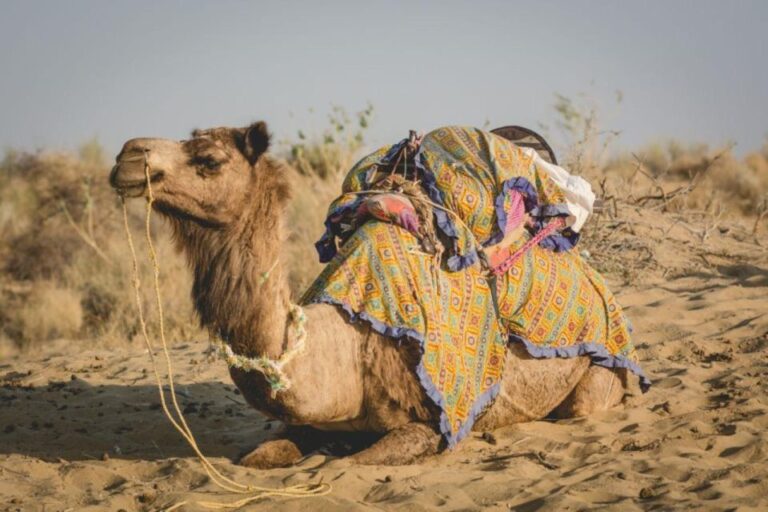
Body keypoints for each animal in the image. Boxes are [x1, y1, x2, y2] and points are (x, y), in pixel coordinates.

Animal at [111, 122, 628, 466]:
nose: (126, 156)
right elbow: (255, 457)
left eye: (210, 160)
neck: (344, 349)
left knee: (584, 405)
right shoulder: (301, 420)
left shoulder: (429, 423)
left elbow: (356, 461)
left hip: (598, 375)